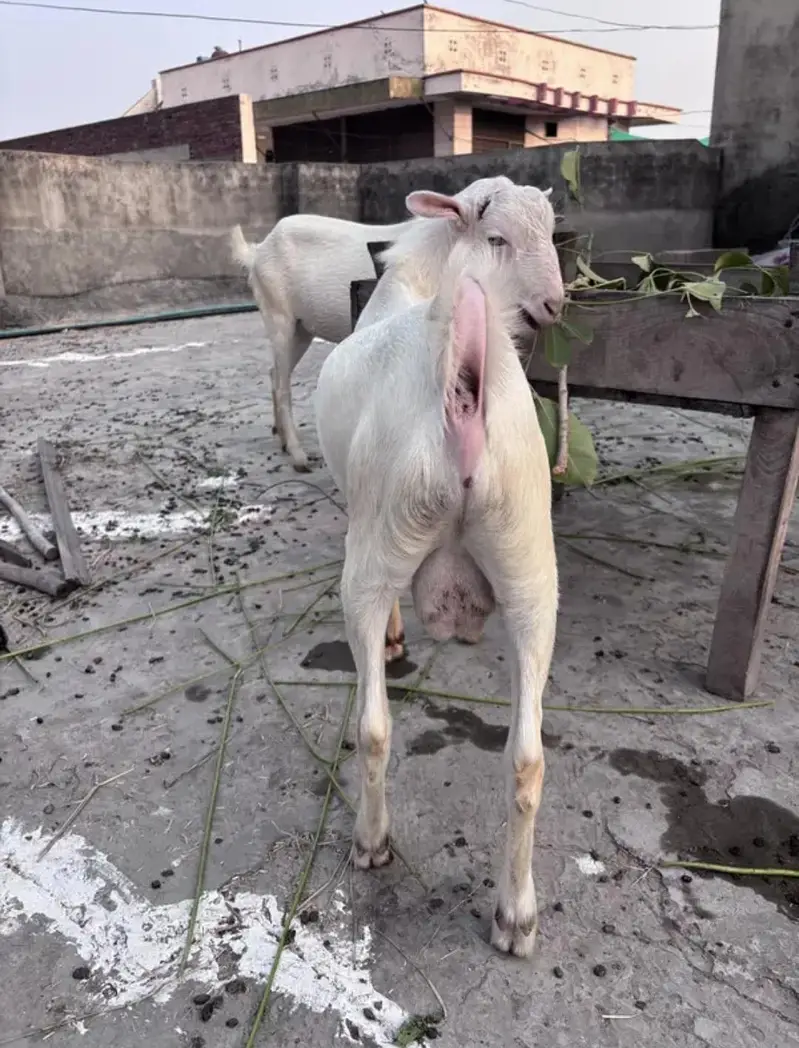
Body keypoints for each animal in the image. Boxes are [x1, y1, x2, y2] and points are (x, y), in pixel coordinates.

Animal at [231, 176, 560, 473]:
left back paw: (281, 438)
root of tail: (258, 249)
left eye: (551, 234)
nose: (553, 304)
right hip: (278, 314)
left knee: (275, 372)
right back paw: (298, 454)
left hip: (301, 328)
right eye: (496, 239)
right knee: (282, 382)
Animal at [314, 188, 564, 958]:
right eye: (499, 237)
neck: (425, 286)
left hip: (376, 543)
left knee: (371, 725)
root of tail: (463, 391)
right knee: (526, 759)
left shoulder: (358, 511)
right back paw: (516, 914)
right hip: (530, 564)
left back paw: (371, 841)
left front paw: (399, 635)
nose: (556, 305)